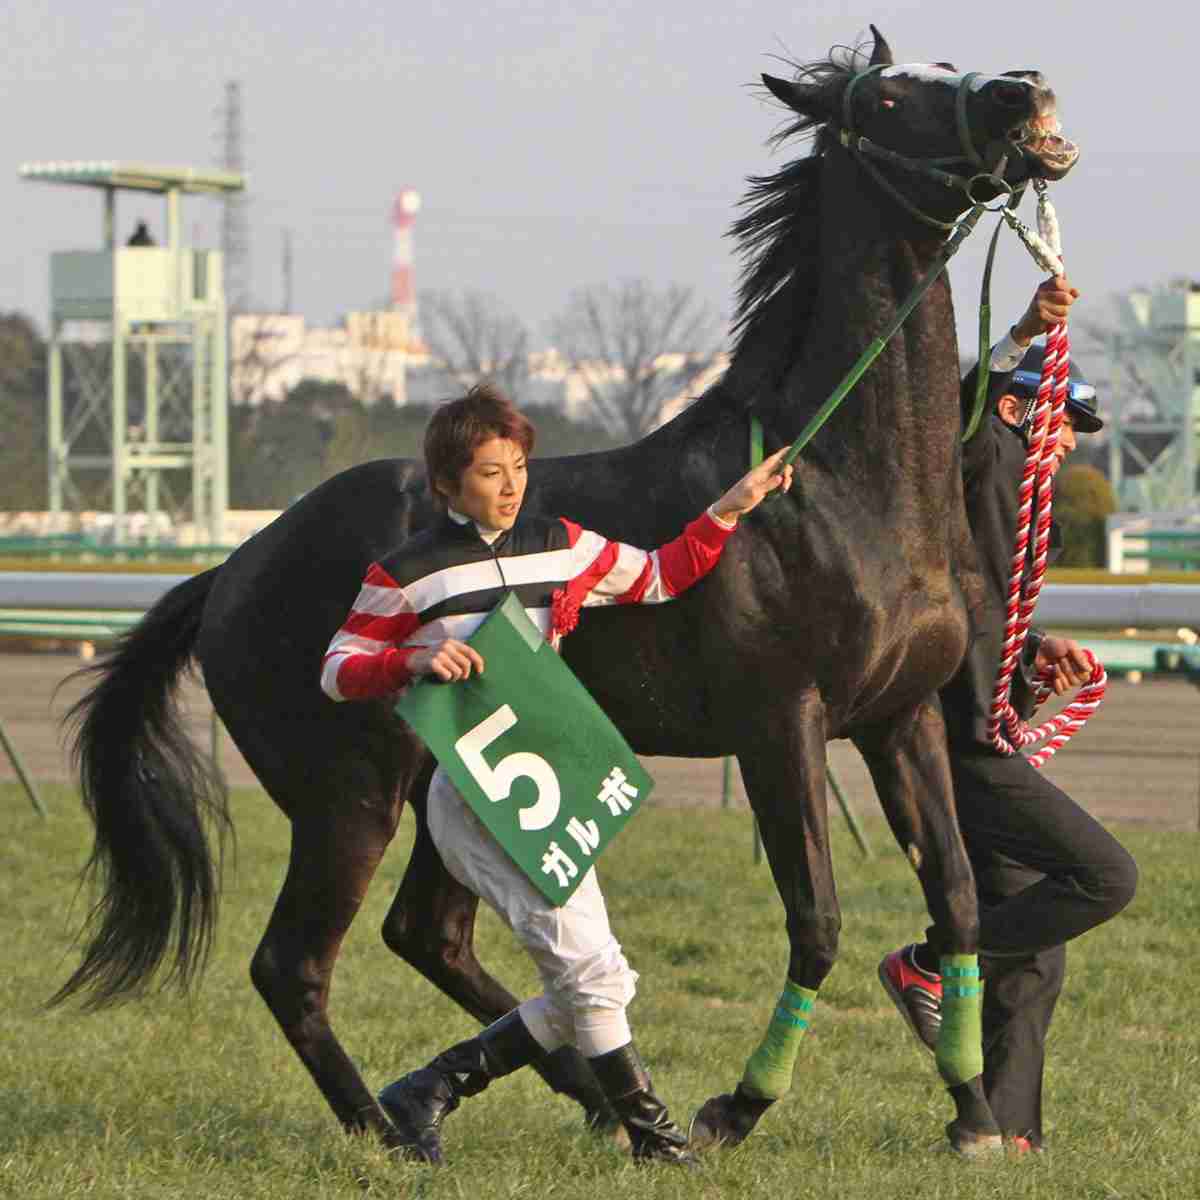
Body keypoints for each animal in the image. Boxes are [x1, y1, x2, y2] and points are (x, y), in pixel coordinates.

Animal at [56, 27, 1077, 1156]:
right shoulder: (782, 722)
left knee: (428, 934)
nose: (1023, 92)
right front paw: (737, 1105)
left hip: (442, 787)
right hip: (347, 794)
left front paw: (975, 1113)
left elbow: (958, 900)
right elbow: (816, 920)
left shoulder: (901, 720)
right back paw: (393, 1128)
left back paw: (568, 1099)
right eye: (892, 97)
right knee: (295, 964)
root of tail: (233, 570)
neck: (835, 479)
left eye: (946, 66)